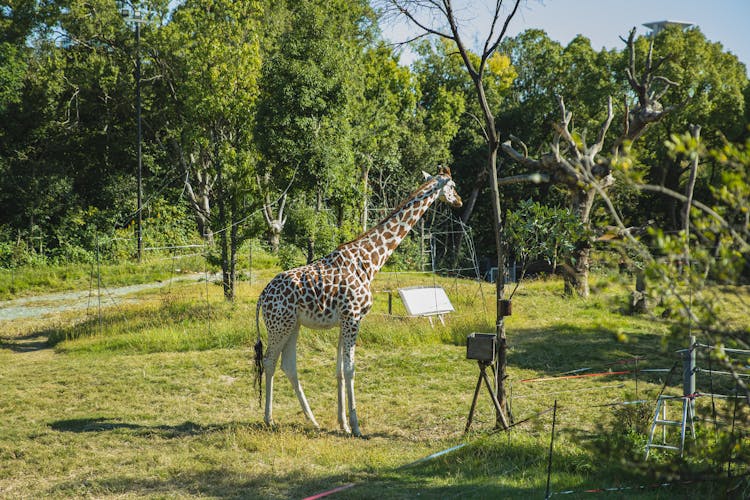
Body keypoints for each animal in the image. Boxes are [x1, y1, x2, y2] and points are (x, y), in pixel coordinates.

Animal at [256, 166, 462, 436]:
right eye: (453, 185)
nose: (459, 201)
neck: (371, 261)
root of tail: (262, 296)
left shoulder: (344, 320)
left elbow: (339, 371)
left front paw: (342, 423)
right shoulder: (353, 317)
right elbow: (350, 369)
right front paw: (355, 426)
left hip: (293, 325)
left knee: (288, 366)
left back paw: (312, 420)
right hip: (279, 325)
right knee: (269, 361)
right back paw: (269, 419)